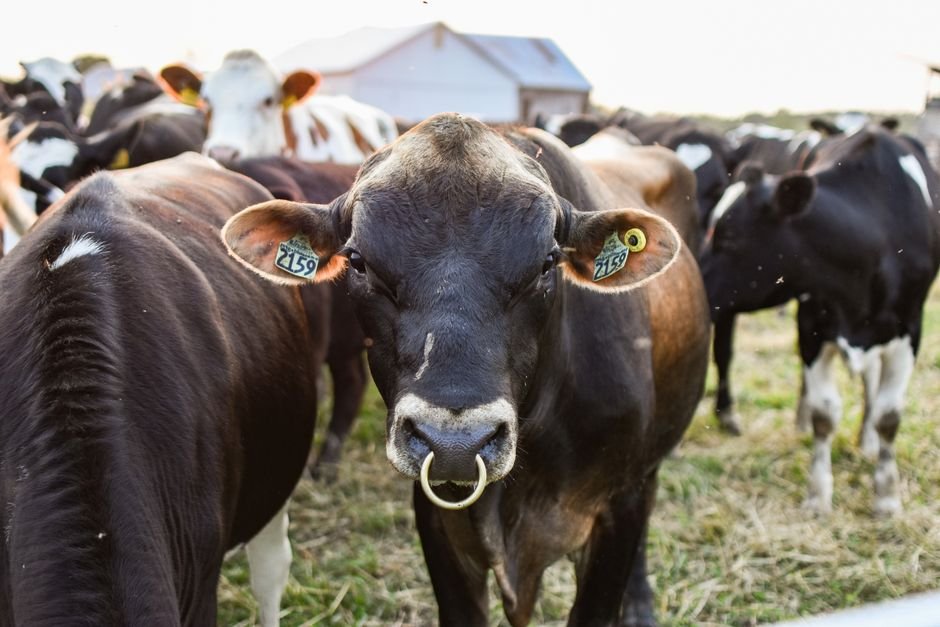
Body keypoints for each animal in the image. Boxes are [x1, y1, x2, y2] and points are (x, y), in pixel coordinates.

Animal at [700, 126, 940, 516]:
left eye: (729, 238)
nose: (693, 286)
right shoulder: (812, 325)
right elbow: (823, 414)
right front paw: (818, 494)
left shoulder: (909, 331)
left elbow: (889, 416)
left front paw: (887, 497)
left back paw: (866, 440)